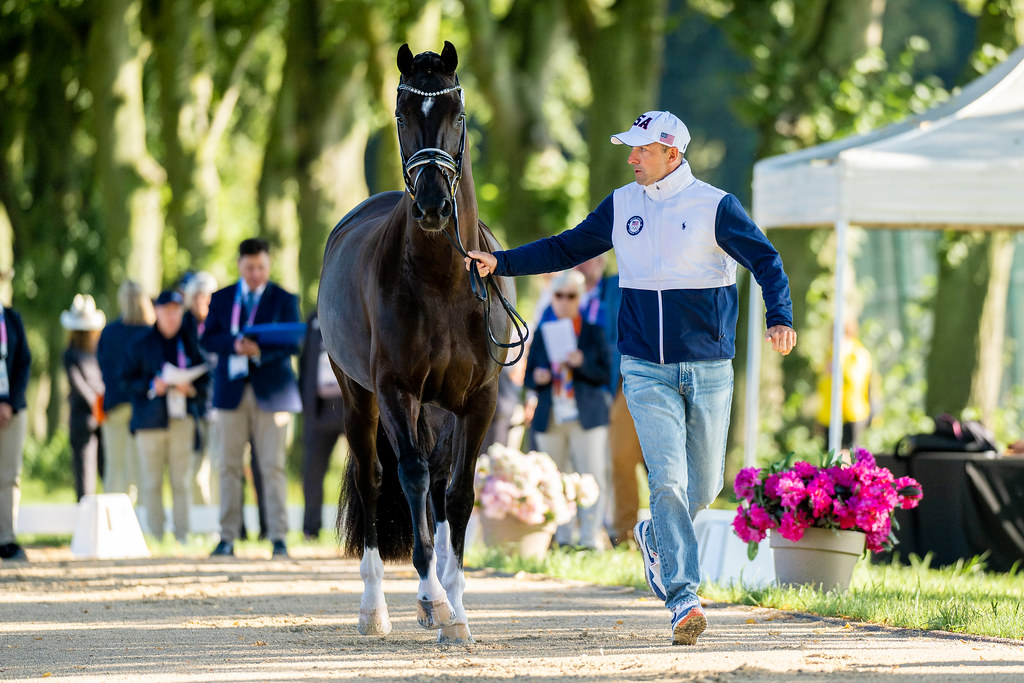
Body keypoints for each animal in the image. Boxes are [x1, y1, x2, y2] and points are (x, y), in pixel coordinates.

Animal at [317, 44, 512, 647]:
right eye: (402, 115)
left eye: (458, 113)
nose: (431, 205)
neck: (443, 281)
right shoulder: (396, 391)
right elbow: (408, 479)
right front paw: (433, 598)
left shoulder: (478, 401)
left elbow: (458, 493)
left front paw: (458, 612)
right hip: (358, 397)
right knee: (375, 480)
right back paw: (375, 611)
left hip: (436, 408)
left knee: (438, 479)